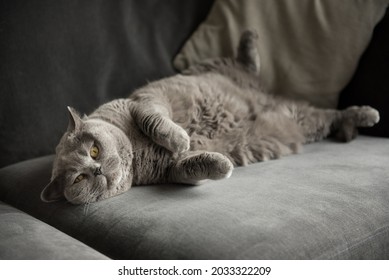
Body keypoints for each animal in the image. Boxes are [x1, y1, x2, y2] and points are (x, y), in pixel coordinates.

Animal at [40, 30, 378, 205]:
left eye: (94, 150)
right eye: (79, 178)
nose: (96, 170)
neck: (136, 153)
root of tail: (266, 95)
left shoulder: (146, 99)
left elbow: (154, 120)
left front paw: (179, 138)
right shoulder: (170, 171)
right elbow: (191, 166)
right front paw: (221, 164)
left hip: (215, 66)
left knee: (246, 62)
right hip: (303, 120)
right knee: (331, 116)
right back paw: (357, 119)